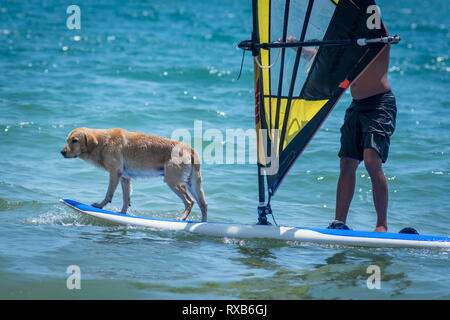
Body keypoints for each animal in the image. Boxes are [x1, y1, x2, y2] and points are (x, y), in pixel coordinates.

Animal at [60, 127, 207, 222]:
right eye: (67, 140)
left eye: (75, 140)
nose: (62, 152)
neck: (102, 143)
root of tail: (190, 149)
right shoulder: (125, 178)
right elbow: (126, 199)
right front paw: (122, 213)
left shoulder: (114, 173)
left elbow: (109, 194)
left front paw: (100, 206)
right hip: (193, 184)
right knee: (203, 204)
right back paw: (202, 222)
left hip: (173, 182)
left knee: (189, 201)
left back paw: (182, 218)